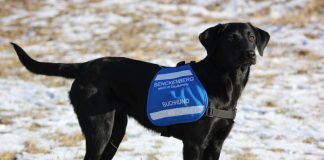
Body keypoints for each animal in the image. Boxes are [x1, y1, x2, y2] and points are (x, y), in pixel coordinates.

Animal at [11, 22, 270, 160]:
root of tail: (85, 66)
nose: (250, 54)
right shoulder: (194, 144)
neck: (225, 83)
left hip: (117, 129)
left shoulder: (216, 144)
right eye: (231, 39)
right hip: (99, 129)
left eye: (251, 36)